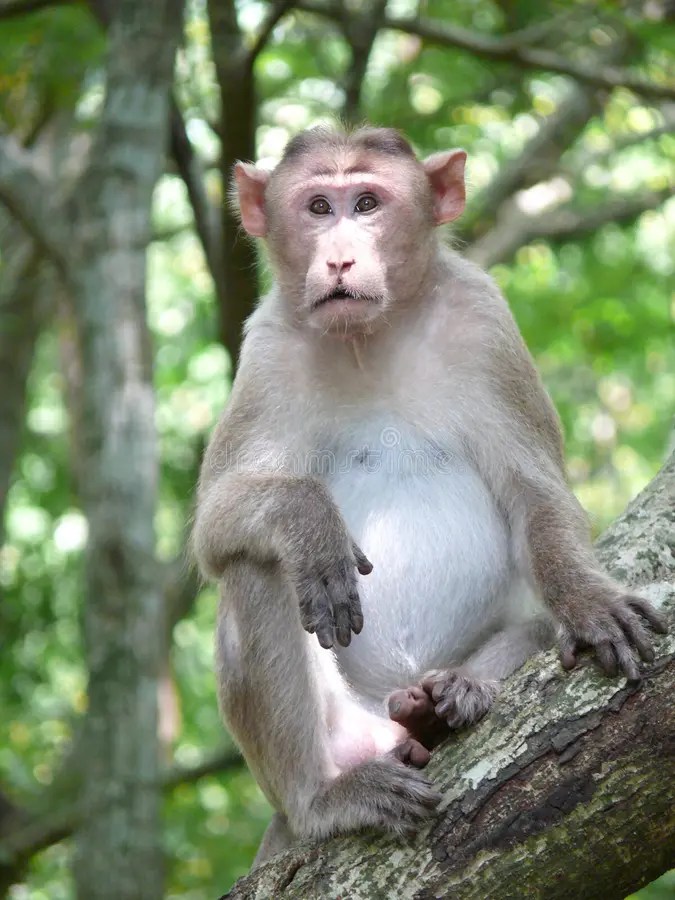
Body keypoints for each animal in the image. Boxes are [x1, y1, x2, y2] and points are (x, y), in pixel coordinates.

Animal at [192, 125, 667, 863]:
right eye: (318, 207)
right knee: (257, 568)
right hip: (348, 734)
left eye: (366, 202)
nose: (339, 258)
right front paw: (311, 525)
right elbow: (216, 525)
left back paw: (450, 697)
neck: (369, 337)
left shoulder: (485, 321)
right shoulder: (266, 352)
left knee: (532, 622)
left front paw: (587, 604)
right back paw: (324, 799)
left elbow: (536, 492)